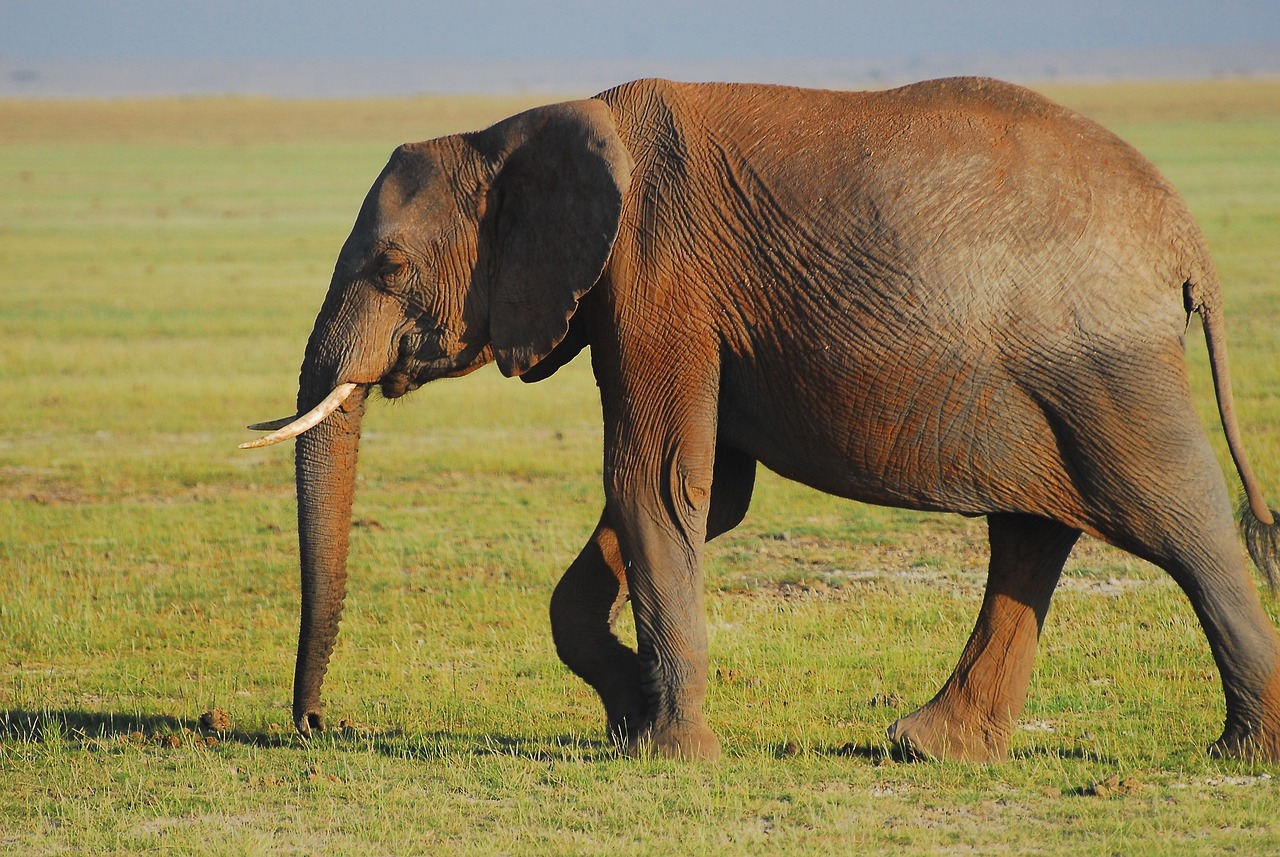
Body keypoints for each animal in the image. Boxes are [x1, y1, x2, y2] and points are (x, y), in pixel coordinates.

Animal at [240, 77, 1280, 767]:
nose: (317, 725)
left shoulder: (657, 274)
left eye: (388, 269)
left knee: (1177, 521)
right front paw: (630, 714)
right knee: (1033, 530)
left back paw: (1240, 754)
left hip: (1104, 364)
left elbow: (656, 480)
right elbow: (703, 495)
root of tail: (1186, 236)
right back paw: (929, 748)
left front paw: (668, 753)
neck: (516, 128)